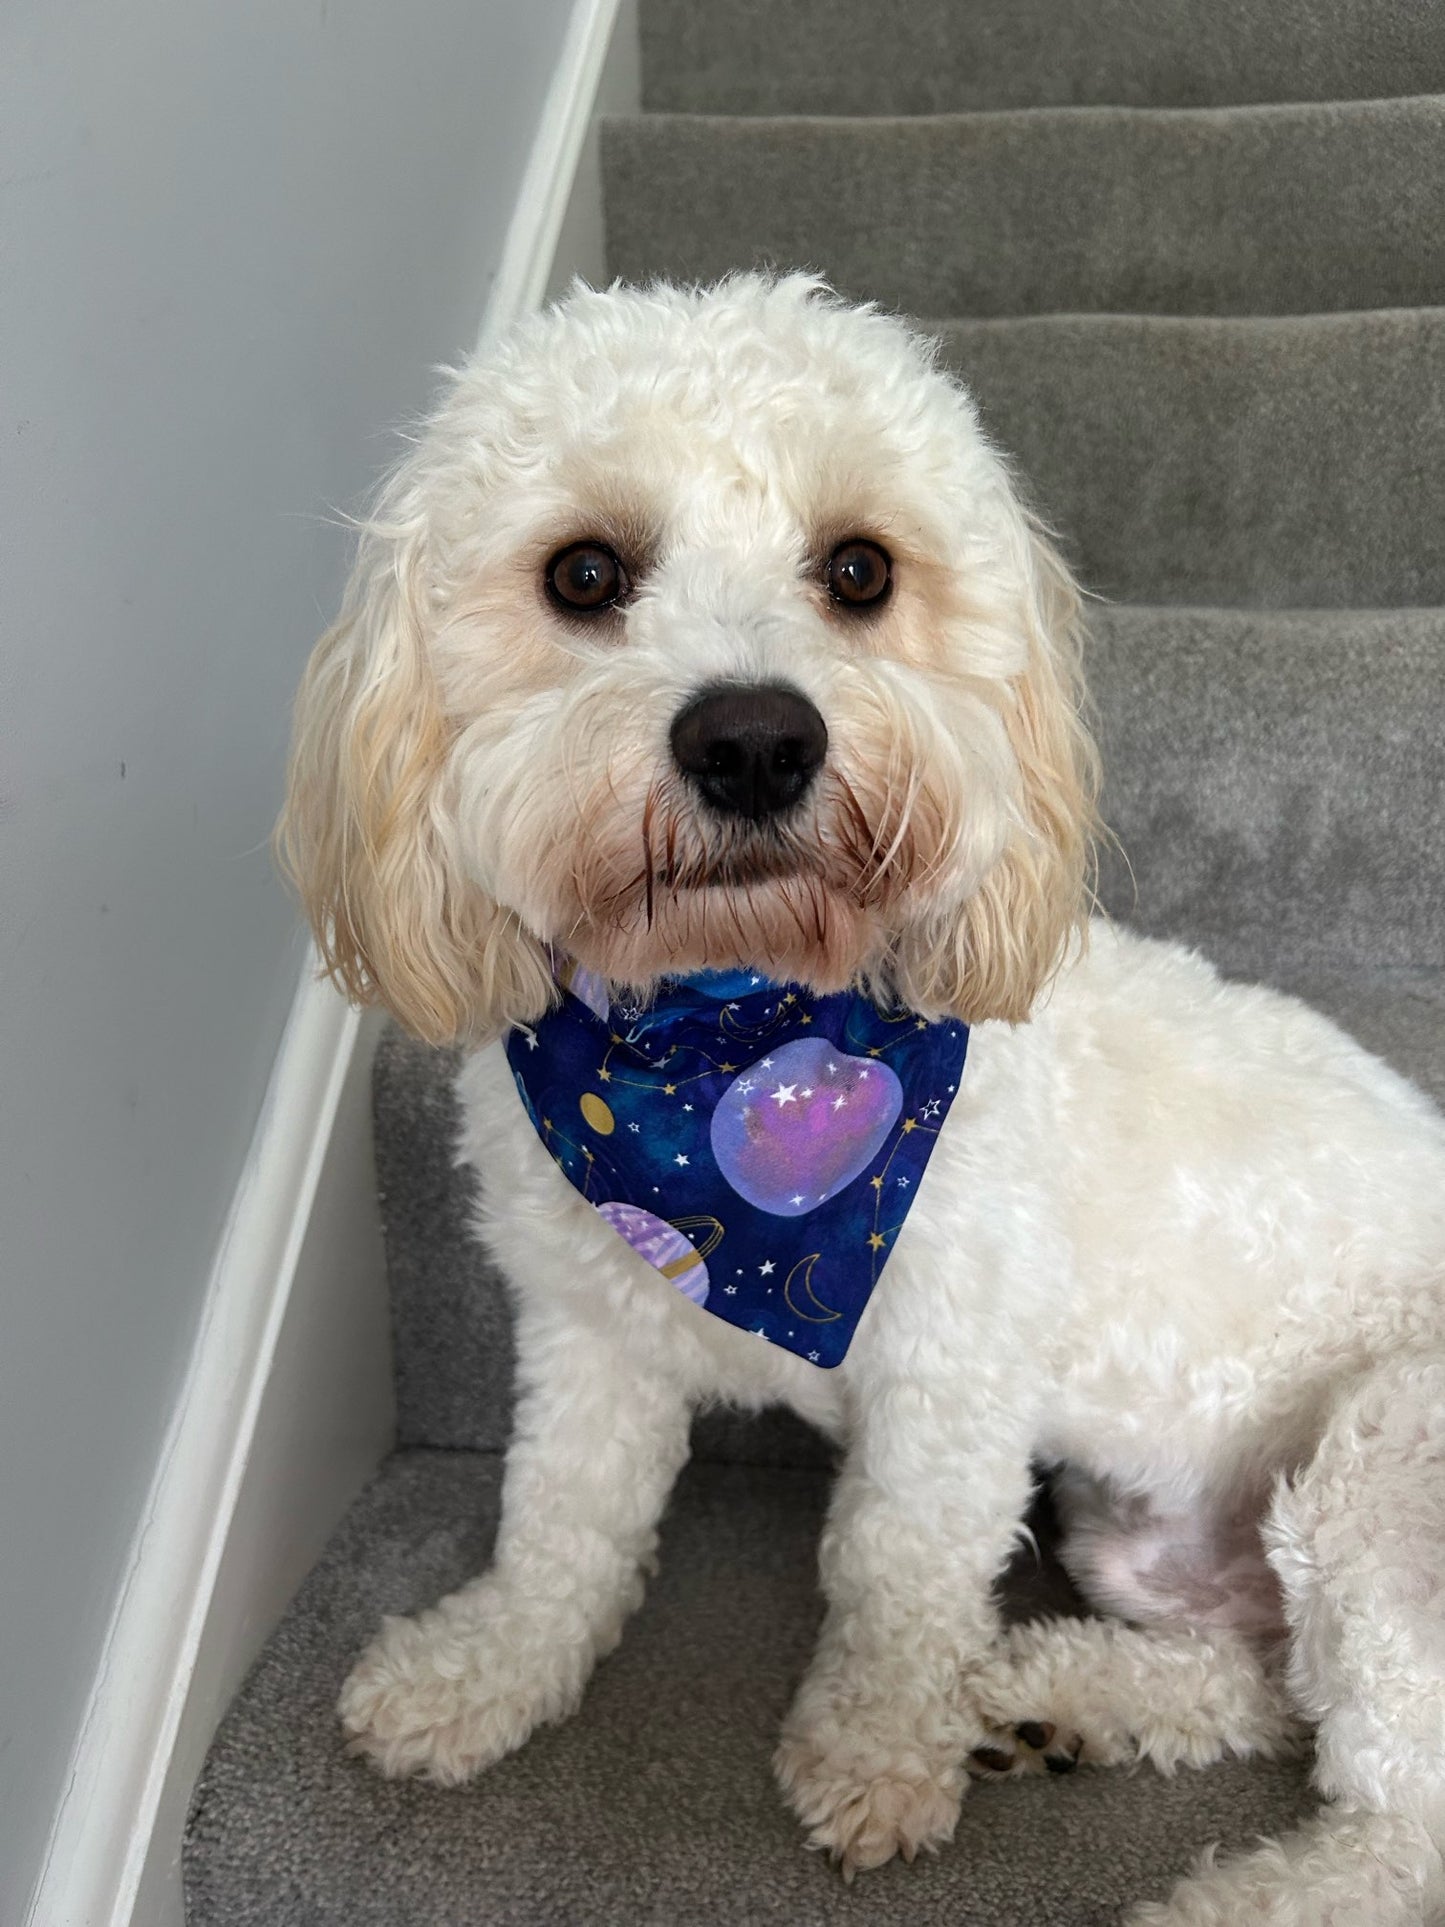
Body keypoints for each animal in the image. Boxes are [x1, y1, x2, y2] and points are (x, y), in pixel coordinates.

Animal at [279, 275, 1445, 1927]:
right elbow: (562, 1518)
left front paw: (879, 1747)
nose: (755, 739)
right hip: (1138, 1534)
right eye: (583, 572)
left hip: (1385, 1455)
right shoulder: (588, 1328)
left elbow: (893, 1565)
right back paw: (1054, 1693)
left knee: (1404, 1815)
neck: (731, 1035)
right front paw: (485, 1668)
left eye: (858, 569)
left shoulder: (950, 1377)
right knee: (1269, 1686)